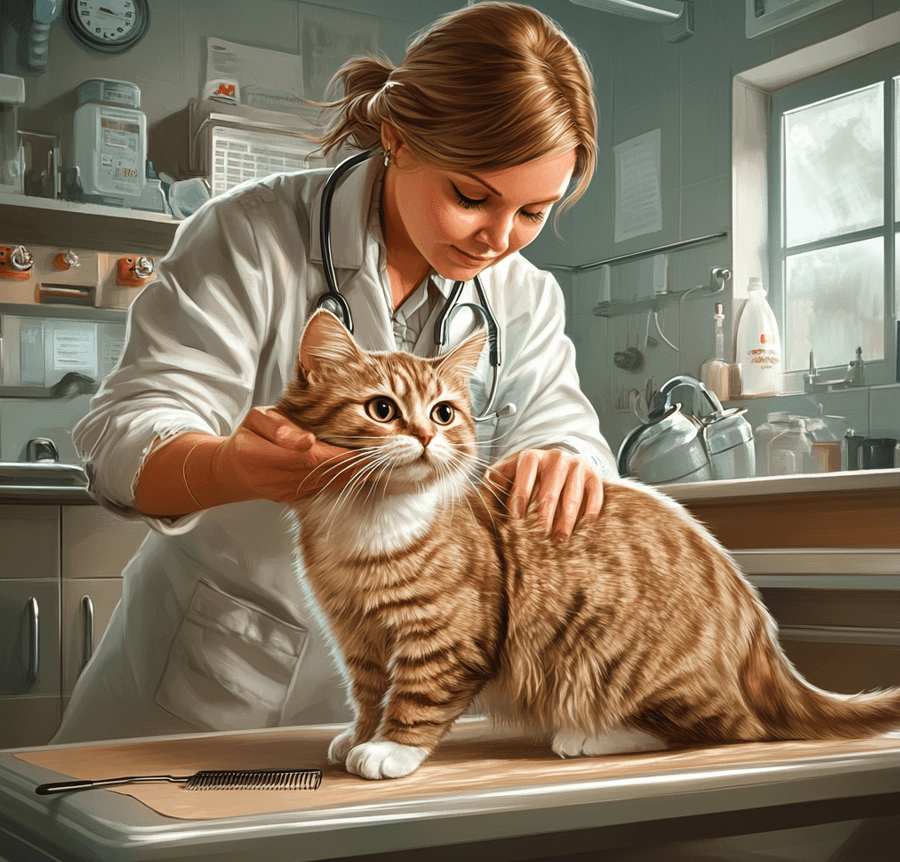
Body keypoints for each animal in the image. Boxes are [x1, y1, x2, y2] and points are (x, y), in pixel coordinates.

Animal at [278, 312, 900, 784]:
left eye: (443, 413)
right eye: (382, 410)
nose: (428, 438)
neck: (369, 522)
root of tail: (754, 623)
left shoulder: (447, 636)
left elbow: (416, 695)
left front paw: (391, 748)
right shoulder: (356, 636)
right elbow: (368, 694)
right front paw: (361, 734)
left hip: (611, 656)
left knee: (732, 727)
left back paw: (593, 736)